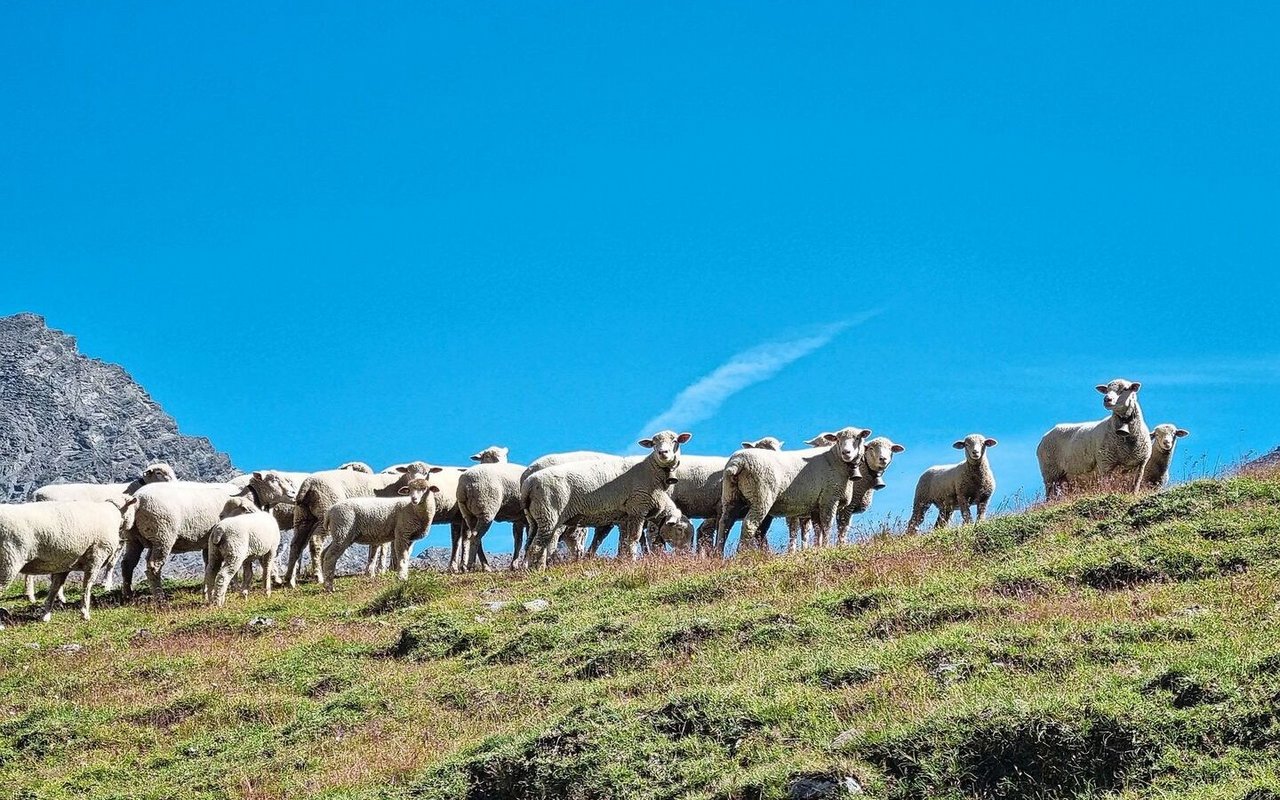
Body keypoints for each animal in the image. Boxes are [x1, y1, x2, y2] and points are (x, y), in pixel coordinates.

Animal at [285, 464, 428, 586]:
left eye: (427, 473)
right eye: (408, 471)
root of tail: (308, 484)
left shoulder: (378, 522)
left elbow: (377, 546)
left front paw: (374, 570)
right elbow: (384, 546)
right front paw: (382, 570)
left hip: (303, 516)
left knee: (296, 545)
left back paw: (289, 580)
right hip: (325, 510)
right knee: (315, 542)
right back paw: (318, 576)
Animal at [521, 431, 692, 568]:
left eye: (675, 441)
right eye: (679, 529)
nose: (663, 453)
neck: (650, 470)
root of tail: (528, 483)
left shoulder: (625, 516)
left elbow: (623, 541)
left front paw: (624, 560)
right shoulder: (637, 507)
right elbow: (633, 538)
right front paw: (632, 560)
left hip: (536, 518)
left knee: (531, 545)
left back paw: (528, 569)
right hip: (549, 513)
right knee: (539, 546)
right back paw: (539, 570)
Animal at [716, 426, 871, 554]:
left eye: (858, 438)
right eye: (838, 439)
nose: (846, 452)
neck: (836, 460)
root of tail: (737, 463)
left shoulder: (816, 505)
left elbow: (818, 528)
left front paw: (818, 548)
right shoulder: (829, 499)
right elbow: (827, 525)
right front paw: (827, 547)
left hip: (731, 496)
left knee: (725, 523)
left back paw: (718, 556)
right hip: (761, 496)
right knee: (749, 524)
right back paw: (741, 554)